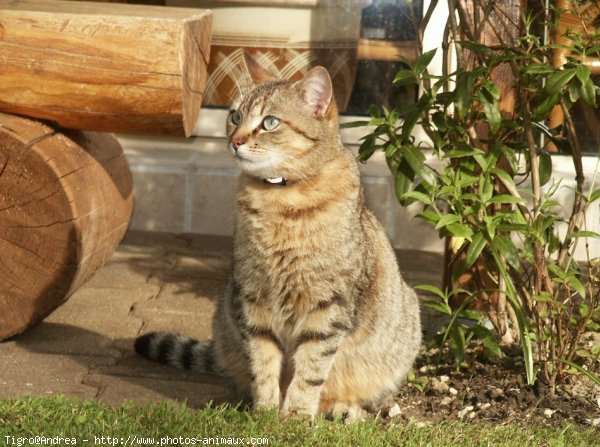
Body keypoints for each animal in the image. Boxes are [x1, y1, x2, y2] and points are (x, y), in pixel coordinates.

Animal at [135, 53, 422, 424]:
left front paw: (296, 416)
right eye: (235, 116)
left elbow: (311, 368)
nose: (235, 141)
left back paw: (341, 410)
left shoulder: (327, 306)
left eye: (269, 122)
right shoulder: (254, 297)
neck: (280, 200)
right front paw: (266, 411)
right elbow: (263, 362)